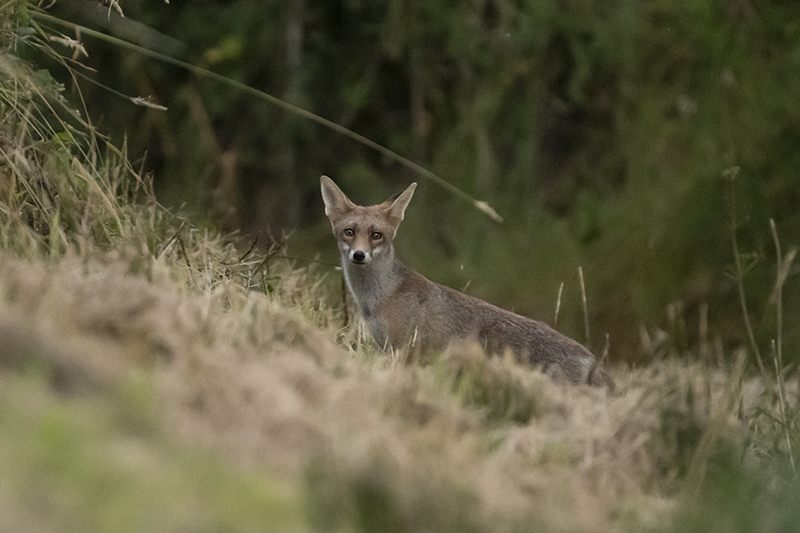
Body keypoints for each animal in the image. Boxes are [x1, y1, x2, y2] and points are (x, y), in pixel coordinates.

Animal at [322, 176, 608, 386]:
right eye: (349, 232)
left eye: (376, 235)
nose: (359, 255)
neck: (378, 298)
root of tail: (592, 359)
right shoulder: (385, 348)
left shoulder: (403, 351)